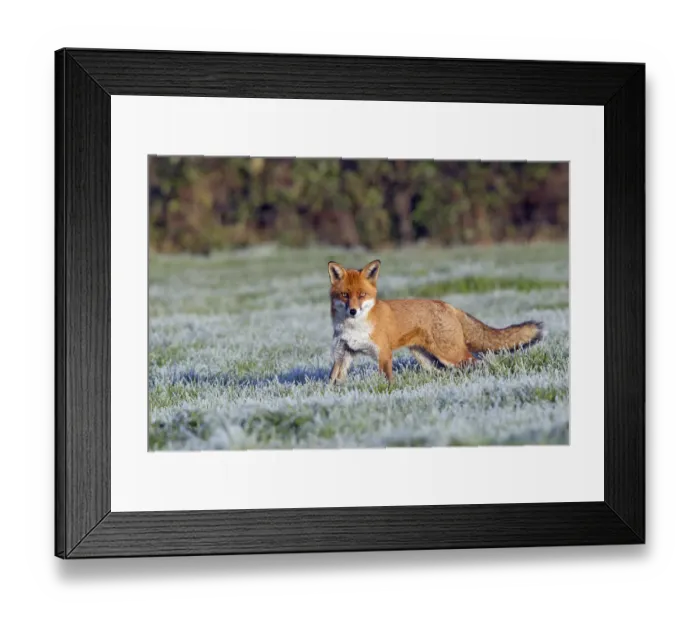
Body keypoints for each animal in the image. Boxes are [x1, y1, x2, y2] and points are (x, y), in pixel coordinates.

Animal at [328, 259, 544, 384]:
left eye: (362, 295)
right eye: (345, 295)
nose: (353, 310)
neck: (354, 328)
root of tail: (447, 304)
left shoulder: (384, 353)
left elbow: (387, 380)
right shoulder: (343, 353)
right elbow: (333, 380)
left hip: (451, 354)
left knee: (479, 362)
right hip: (428, 359)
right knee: (445, 372)